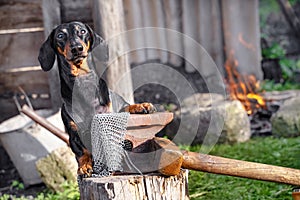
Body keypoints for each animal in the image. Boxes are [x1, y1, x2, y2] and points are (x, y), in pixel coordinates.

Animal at [38, 21, 156, 176]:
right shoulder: (74, 135)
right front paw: (84, 166)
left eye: (82, 31)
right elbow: (82, 152)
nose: (77, 48)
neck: (82, 80)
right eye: (60, 35)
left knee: (125, 107)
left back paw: (142, 106)